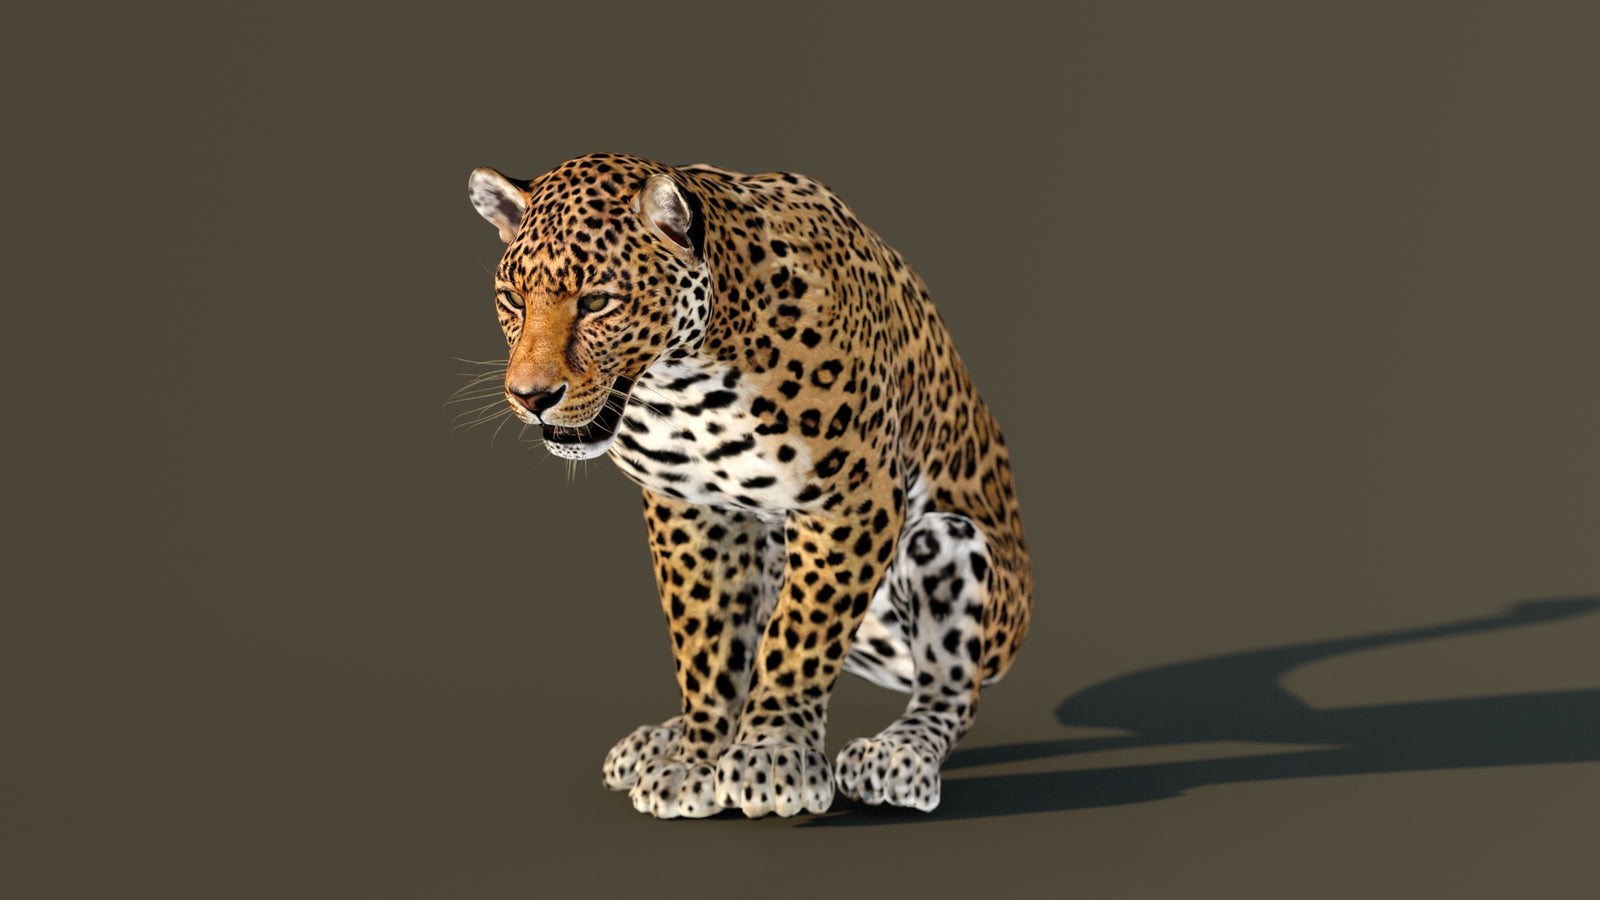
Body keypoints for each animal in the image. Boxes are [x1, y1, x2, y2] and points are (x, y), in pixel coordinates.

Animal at [465, 152, 1032, 818]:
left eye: (599, 300)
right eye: (512, 298)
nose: (529, 397)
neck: (684, 384)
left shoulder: (854, 497)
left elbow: (799, 635)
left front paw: (773, 755)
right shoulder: (692, 508)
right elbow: (707, 641)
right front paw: (695, 760)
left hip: (947, 543)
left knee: (951, 687)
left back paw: (898, 754)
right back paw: (658, 740)